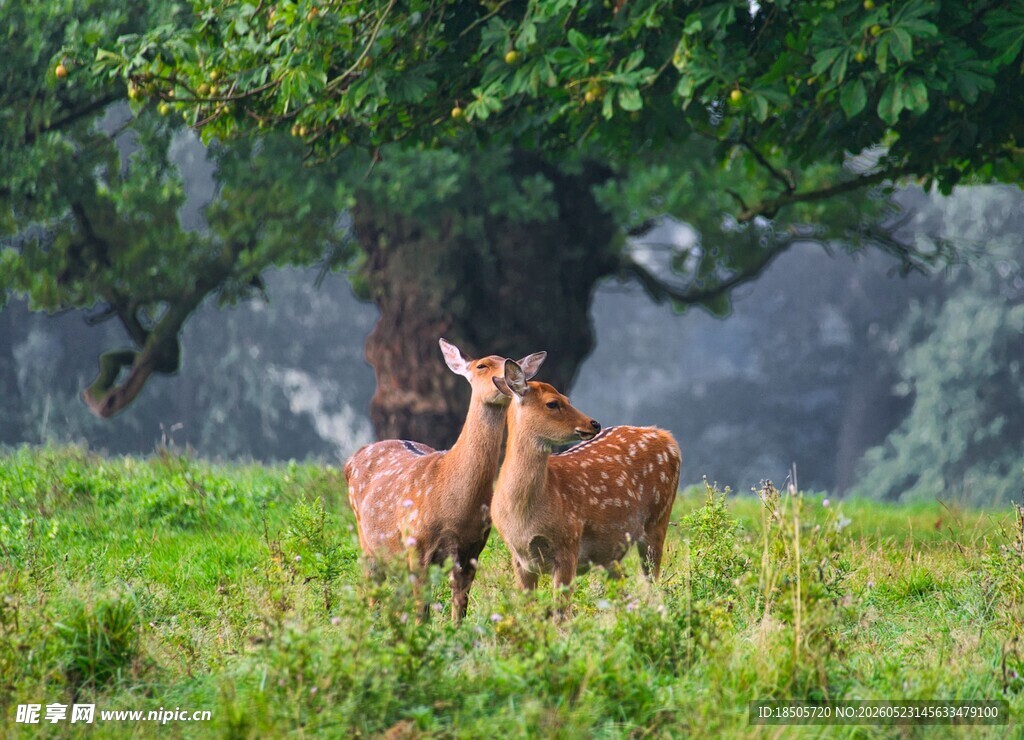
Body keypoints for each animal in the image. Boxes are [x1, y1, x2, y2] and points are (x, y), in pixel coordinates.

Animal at [345, 338, 546, 621]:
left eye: (511, 362)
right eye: (482, 365)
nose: (507, 380)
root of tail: (353, 457)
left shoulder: (473, 549)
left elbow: (459, 611)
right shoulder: (417, 544)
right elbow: (422, 612)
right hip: (366, 540)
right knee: (373, 590)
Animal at [491, 358, 681, 612]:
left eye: (567, 398)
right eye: (552, 403)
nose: (594, 424)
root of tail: (665, 435)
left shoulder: (568, 543)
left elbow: (562, 613)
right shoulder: (519, 557)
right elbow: (529, 611)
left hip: (658, 517)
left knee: (652, 582)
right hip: (612, 551)